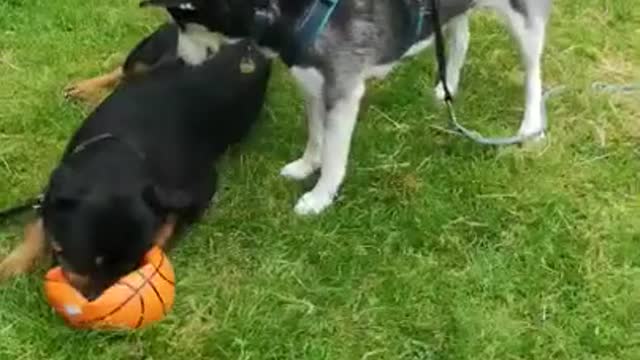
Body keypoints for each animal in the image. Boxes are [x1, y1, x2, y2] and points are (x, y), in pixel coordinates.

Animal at [0, 23, 270, 298]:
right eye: (85, 260)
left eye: (128, 267)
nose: (95, 302)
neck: (124, 150)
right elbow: (37, 230)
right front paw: (10, 266)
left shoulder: (199, 187)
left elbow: (169, 225)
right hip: (148, 52)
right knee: (123, 70)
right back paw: (86, 89)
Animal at [142, 0, 552, 214]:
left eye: (183, 22)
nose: (179, 61)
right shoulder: (310, 79)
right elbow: (315, 135)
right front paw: (307, 165)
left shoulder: (344, 90)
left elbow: (335, 157)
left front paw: (319, 197)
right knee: (460, 34)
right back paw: (447, 86)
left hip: (524, 20)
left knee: (534, 70)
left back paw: (531, 125)